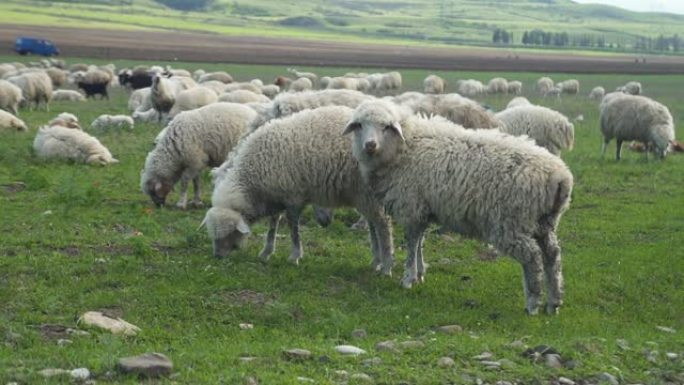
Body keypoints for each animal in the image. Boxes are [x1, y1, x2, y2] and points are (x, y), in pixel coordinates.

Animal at [203, 103, 392, 274]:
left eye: (229, 234)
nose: (217, 256)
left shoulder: (292, 196)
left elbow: (293, 228)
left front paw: (294, 256)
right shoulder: (276, 196)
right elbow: (273, 225)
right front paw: (266, 252)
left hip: (369, 192)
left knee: (382, 224)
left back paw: (386, 266)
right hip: (361, 194)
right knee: (373, 223)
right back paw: (376, 261)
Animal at [344, 97, 576, 314]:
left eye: (385, 126)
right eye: (360, 125)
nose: (370, 145)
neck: (405, 146)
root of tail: (560, 176)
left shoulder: (411, 207)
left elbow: (411, 245)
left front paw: (408, 278)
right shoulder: (423, 209)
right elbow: (419, 242)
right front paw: (420, 273)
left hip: (510, 222)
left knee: (532, 258)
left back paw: (533, 303)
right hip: (544, 222)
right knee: (552, 256)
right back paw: (554, 302)